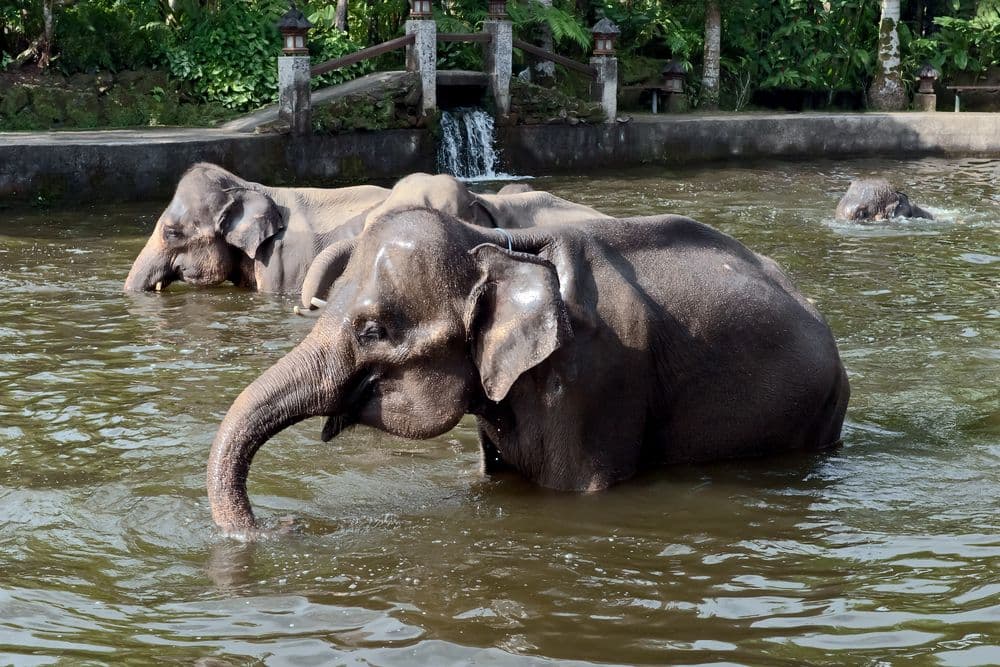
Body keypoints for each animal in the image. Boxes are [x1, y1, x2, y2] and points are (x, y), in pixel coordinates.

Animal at [207, 207, 850, 538]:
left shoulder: (593, 384)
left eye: (374, 331)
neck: (497, 244)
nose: (285, 527)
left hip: (820, 409)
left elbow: (576, 488)